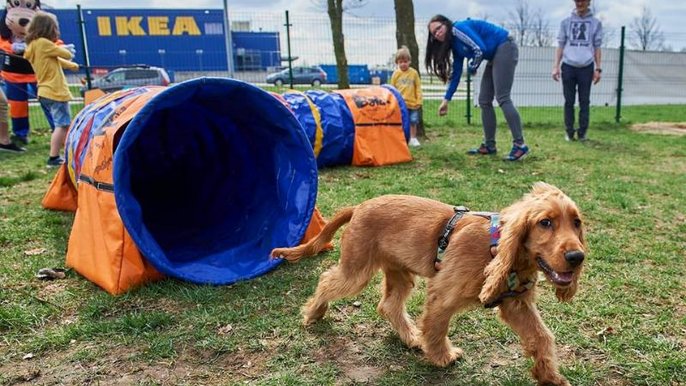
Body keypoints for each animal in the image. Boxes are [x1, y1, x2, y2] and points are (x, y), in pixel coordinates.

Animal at [272, 182, 588, 386]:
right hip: (356, 271)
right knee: (327, 280)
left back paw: (410, 337)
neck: (497, 248)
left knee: (388, 305)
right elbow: (437, 328)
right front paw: (442, 356)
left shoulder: (516, 304)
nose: (577, 257)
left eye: (576, 222)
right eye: (545, 223)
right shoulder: (443, 294)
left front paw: (550, 376)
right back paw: (314, 312)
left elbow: (542, 337)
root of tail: (359, 206)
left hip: (399, 273)